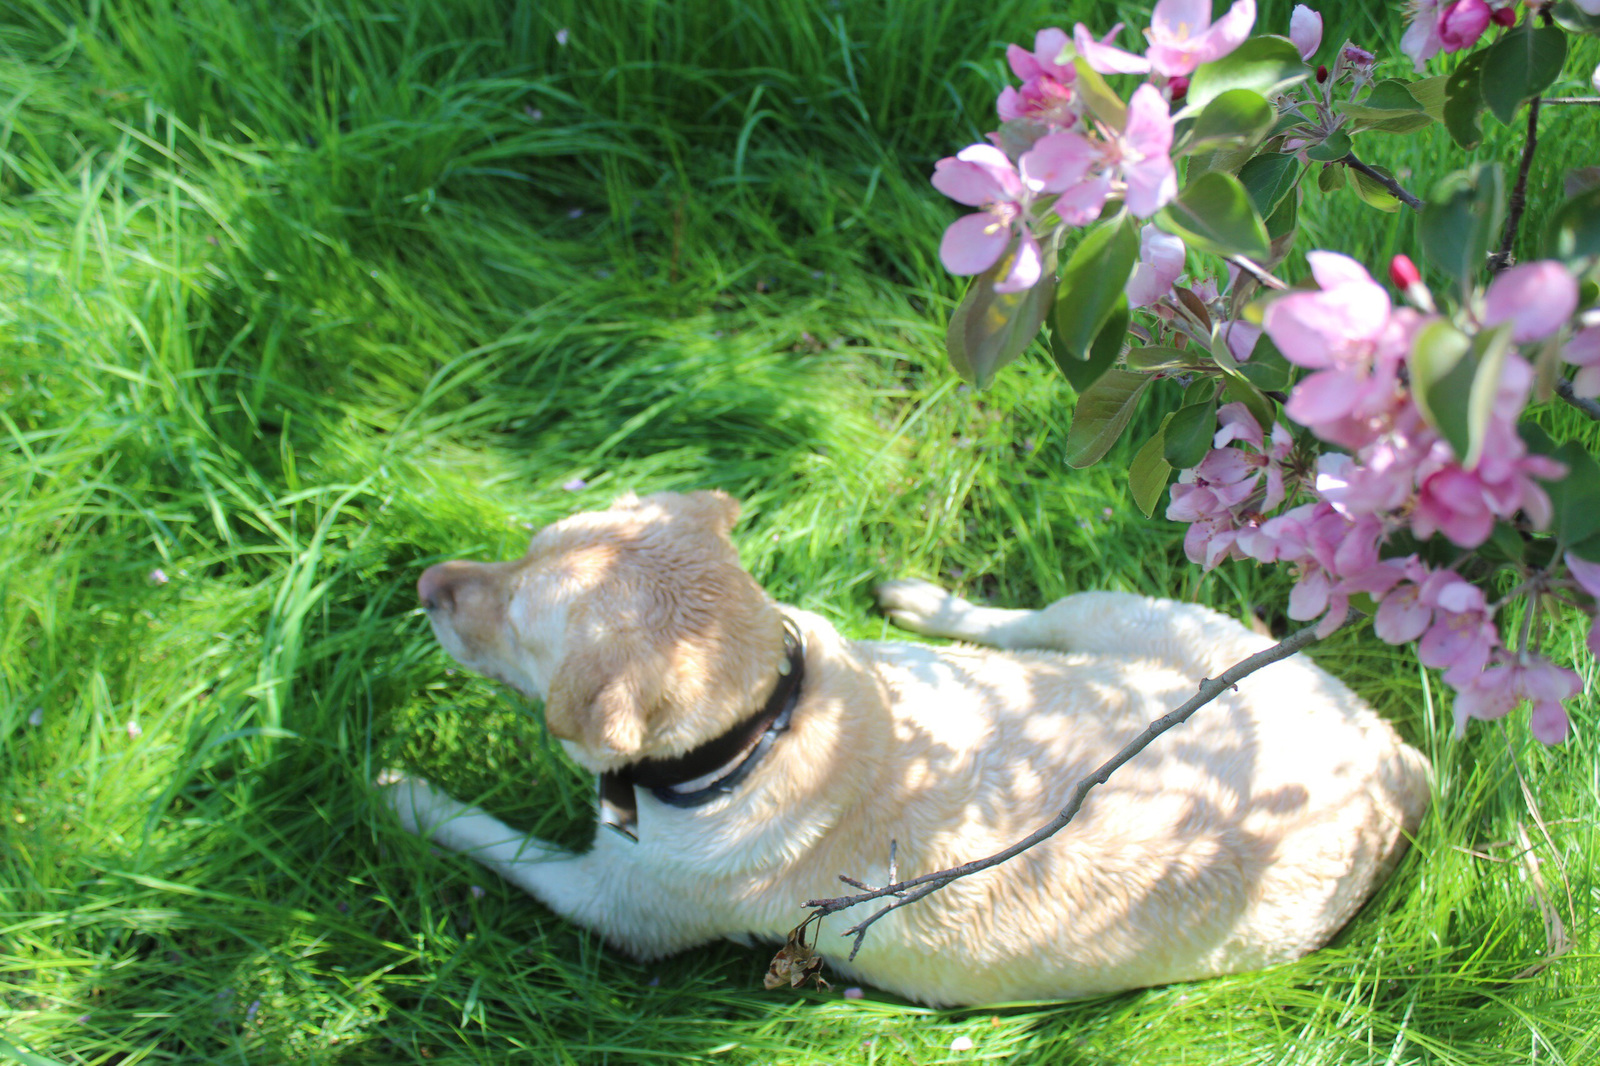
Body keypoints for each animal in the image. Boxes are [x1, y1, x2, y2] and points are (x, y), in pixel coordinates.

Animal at [387, 489, 1427, 1005]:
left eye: (515, 620)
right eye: (526, 545)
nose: (425, 580)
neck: (763, 722)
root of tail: (1399, 770)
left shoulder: (610, 906)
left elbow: (497, 840)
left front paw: (403, 796)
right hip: (1154, 624)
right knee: (1021, 626)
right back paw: (926, 604)